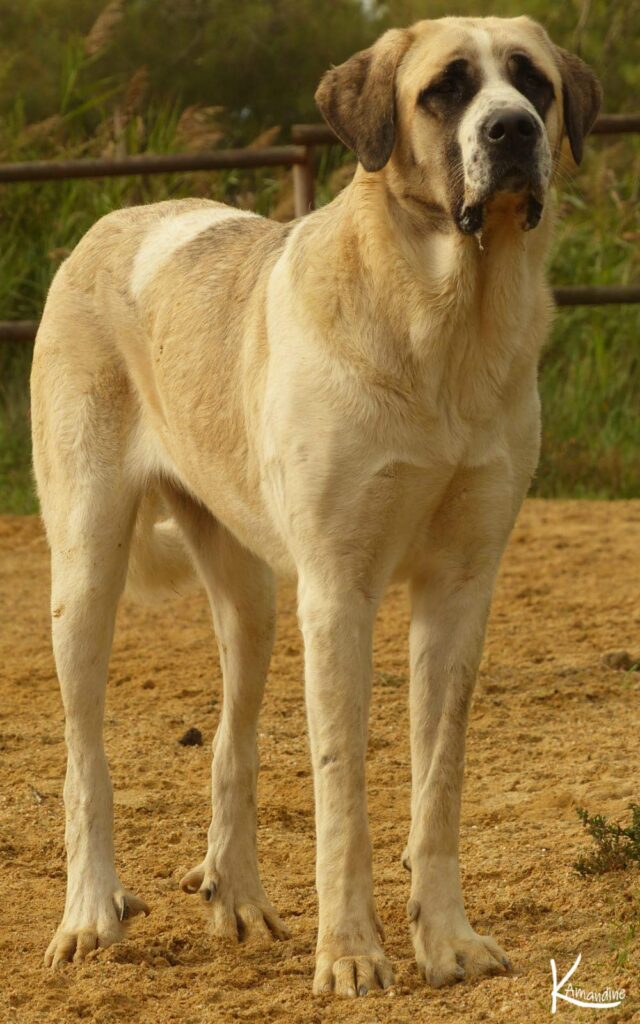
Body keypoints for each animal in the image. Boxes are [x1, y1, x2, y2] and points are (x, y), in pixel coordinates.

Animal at [29, 12, 598, 995]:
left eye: (533, 82)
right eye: (446, 88)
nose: (513, 131)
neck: (447, 323)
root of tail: (113, 220)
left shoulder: (461, 591)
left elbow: (438, 781)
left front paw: (448, 942)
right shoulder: (338, 594)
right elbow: (343, 790)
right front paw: (353, 956)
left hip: (253, 599)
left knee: (232, 741)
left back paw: (239, 900)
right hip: (88, 574)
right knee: (85, 759)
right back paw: (90, 913)